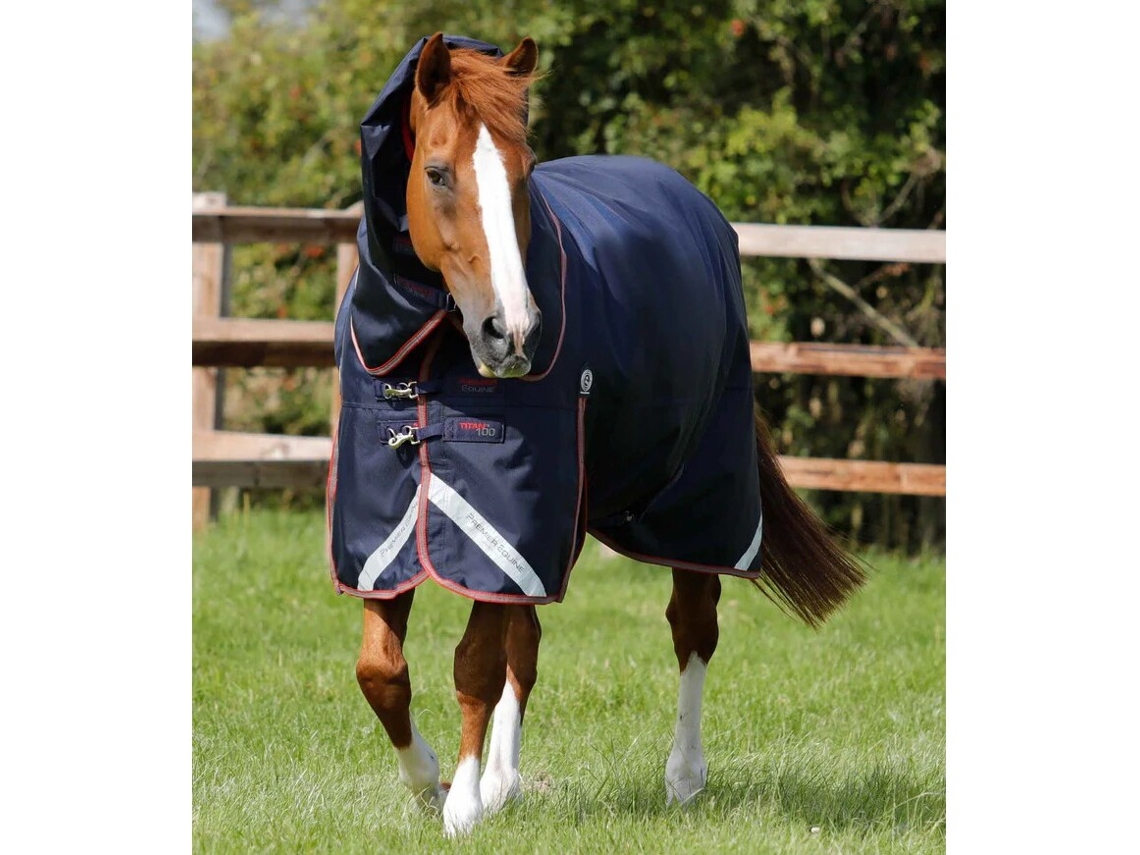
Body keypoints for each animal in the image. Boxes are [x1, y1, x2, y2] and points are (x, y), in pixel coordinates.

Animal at [327, 32, 866, 837]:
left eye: (523, 174)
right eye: (436, 171)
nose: (512, 330)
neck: (424, 353)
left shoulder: (506, 516)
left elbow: (473, 662)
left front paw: (458, 804)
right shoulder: (386, 525)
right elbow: (382, 670)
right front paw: (430, 784)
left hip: (691, 497)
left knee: (692, 626)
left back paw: (683, 778)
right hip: (561, 517)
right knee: (528, 642)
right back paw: (506, 782)